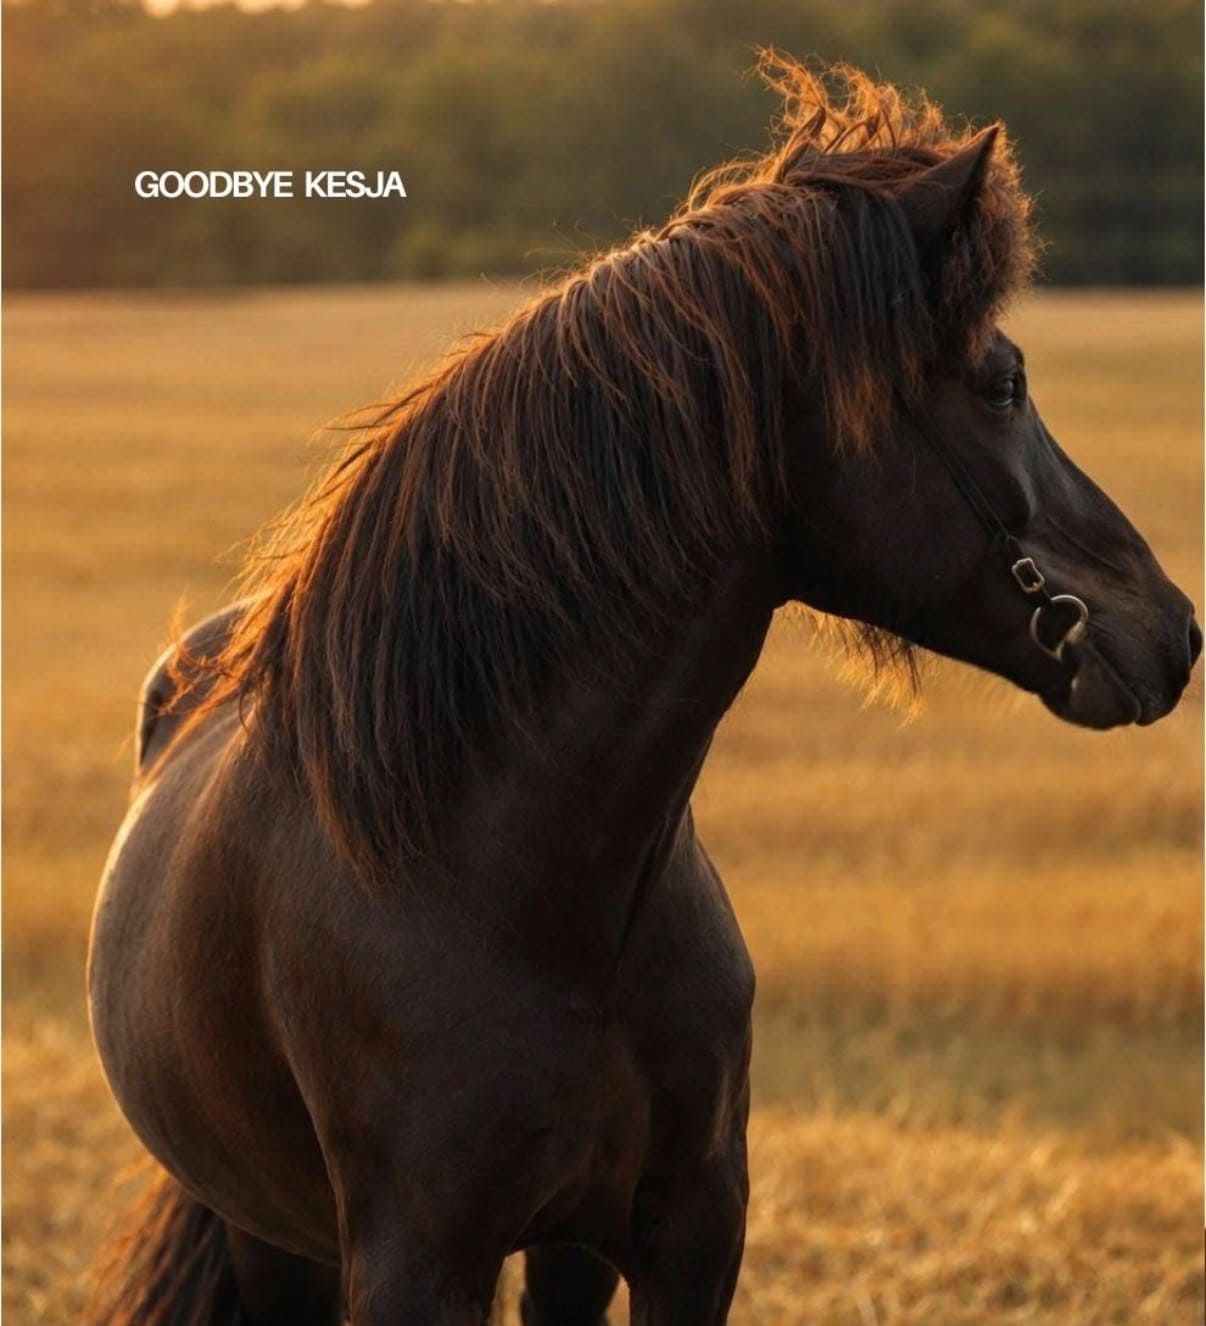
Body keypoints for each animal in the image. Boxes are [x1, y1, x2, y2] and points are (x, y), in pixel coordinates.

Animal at [87, 58, 1199, 1326]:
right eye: (1003, 383)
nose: (1173, 630)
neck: (520, 893)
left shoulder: (687, 1231)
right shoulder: (418, 1257)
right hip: (274, 1238)